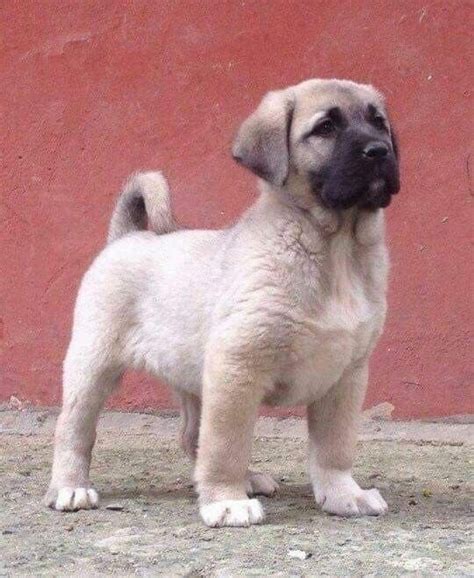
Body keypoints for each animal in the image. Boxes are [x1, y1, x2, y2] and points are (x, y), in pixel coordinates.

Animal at [45, 77, 400, 528]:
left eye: (379, 122)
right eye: (325, 128)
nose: (379, 151)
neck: (334, 248)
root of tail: (127, 236)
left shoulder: (346, 376)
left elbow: (334, 448)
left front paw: (343, 493)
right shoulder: (238, 364)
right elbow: (227, 444)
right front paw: (225, 500)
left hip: (193, 376)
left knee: (192, 435)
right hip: (93, 364)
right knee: (74, 429)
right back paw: (70, 487)